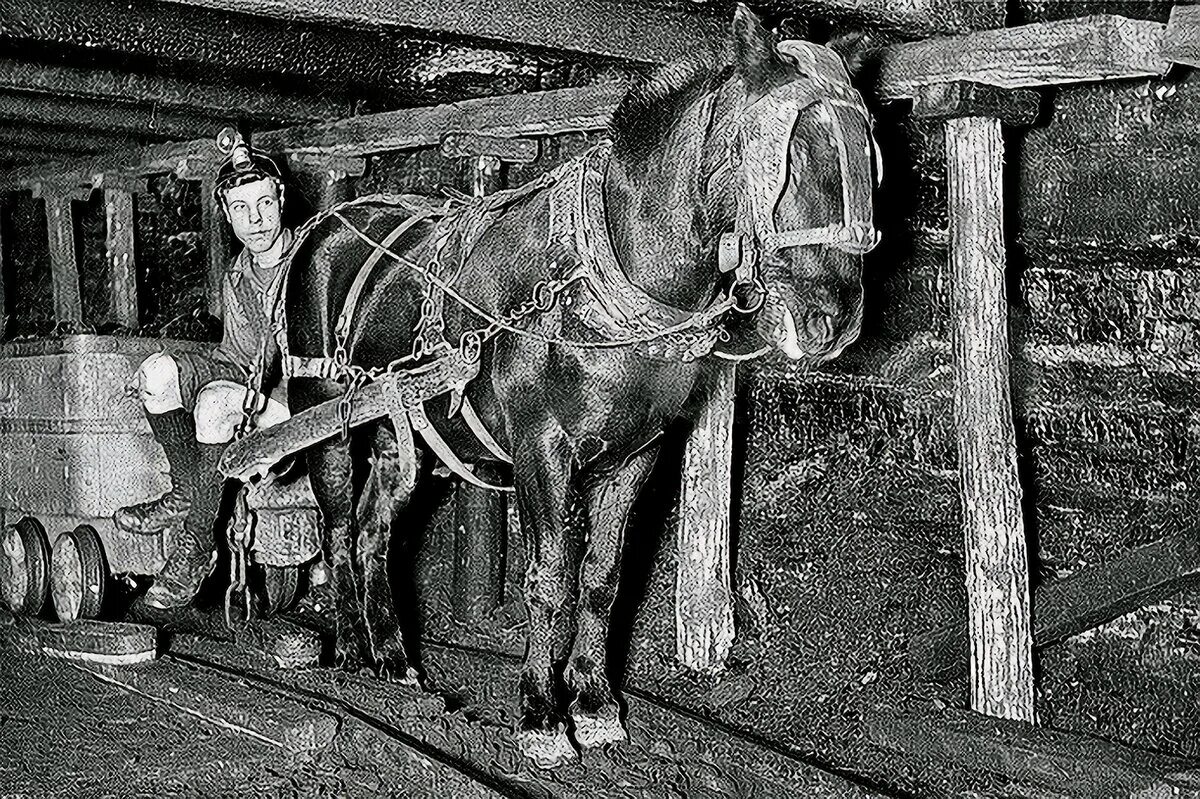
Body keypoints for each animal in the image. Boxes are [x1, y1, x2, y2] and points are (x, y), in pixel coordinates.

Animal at [274, 4, 883, 767]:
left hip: (398, 433)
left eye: (868, 160)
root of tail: (327, 223)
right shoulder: (542, 448)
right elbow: (550, 580)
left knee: (371, 532)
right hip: (325, 413)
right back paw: (354, 650)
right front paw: (540, 713)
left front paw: (593, 703)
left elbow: (601, 577)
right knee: (335, 528)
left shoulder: (637, 453)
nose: (837, 320)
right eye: (790, 158)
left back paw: (393, 657)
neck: (611, 277)